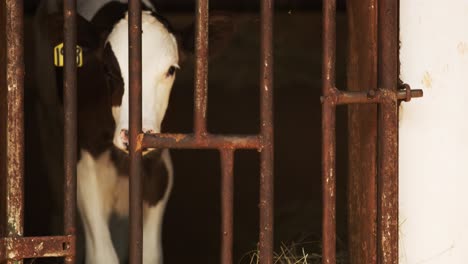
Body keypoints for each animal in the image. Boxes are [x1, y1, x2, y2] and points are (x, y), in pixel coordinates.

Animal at [33, 0, 234, 264]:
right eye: (108, 70)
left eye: (171, 69)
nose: (133, 134)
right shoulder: (85, 165)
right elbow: (102, 255)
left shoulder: (159, 167)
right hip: (47, 120)